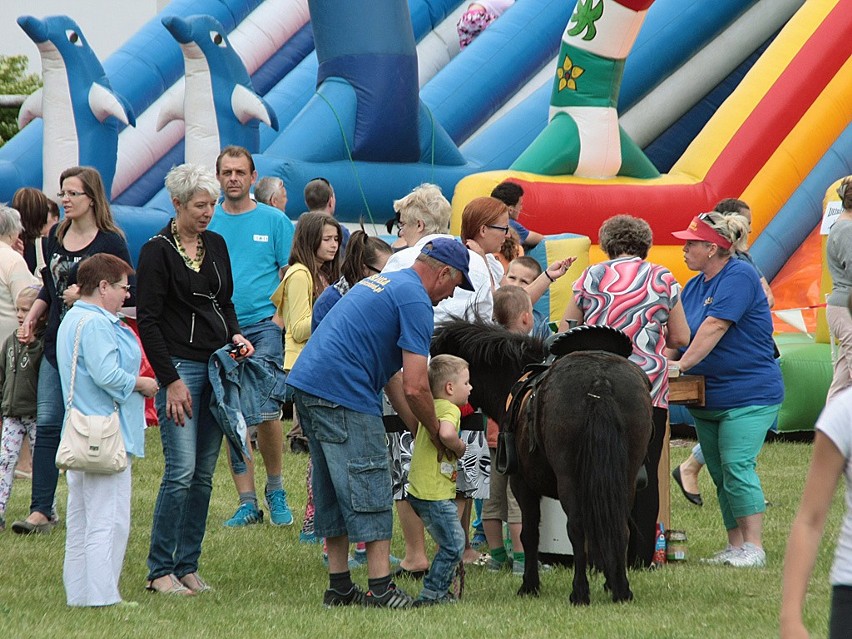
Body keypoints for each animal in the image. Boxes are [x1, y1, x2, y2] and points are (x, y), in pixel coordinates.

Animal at [432, 320, 652, 604]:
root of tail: (599, 381)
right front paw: (609, 581)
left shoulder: (521, 484)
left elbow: (528, 533)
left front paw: (529, 584)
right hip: (625, 478)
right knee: (619, 528)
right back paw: (621, 590)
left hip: (570, 481)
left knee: (577, 529)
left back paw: (579, 592)